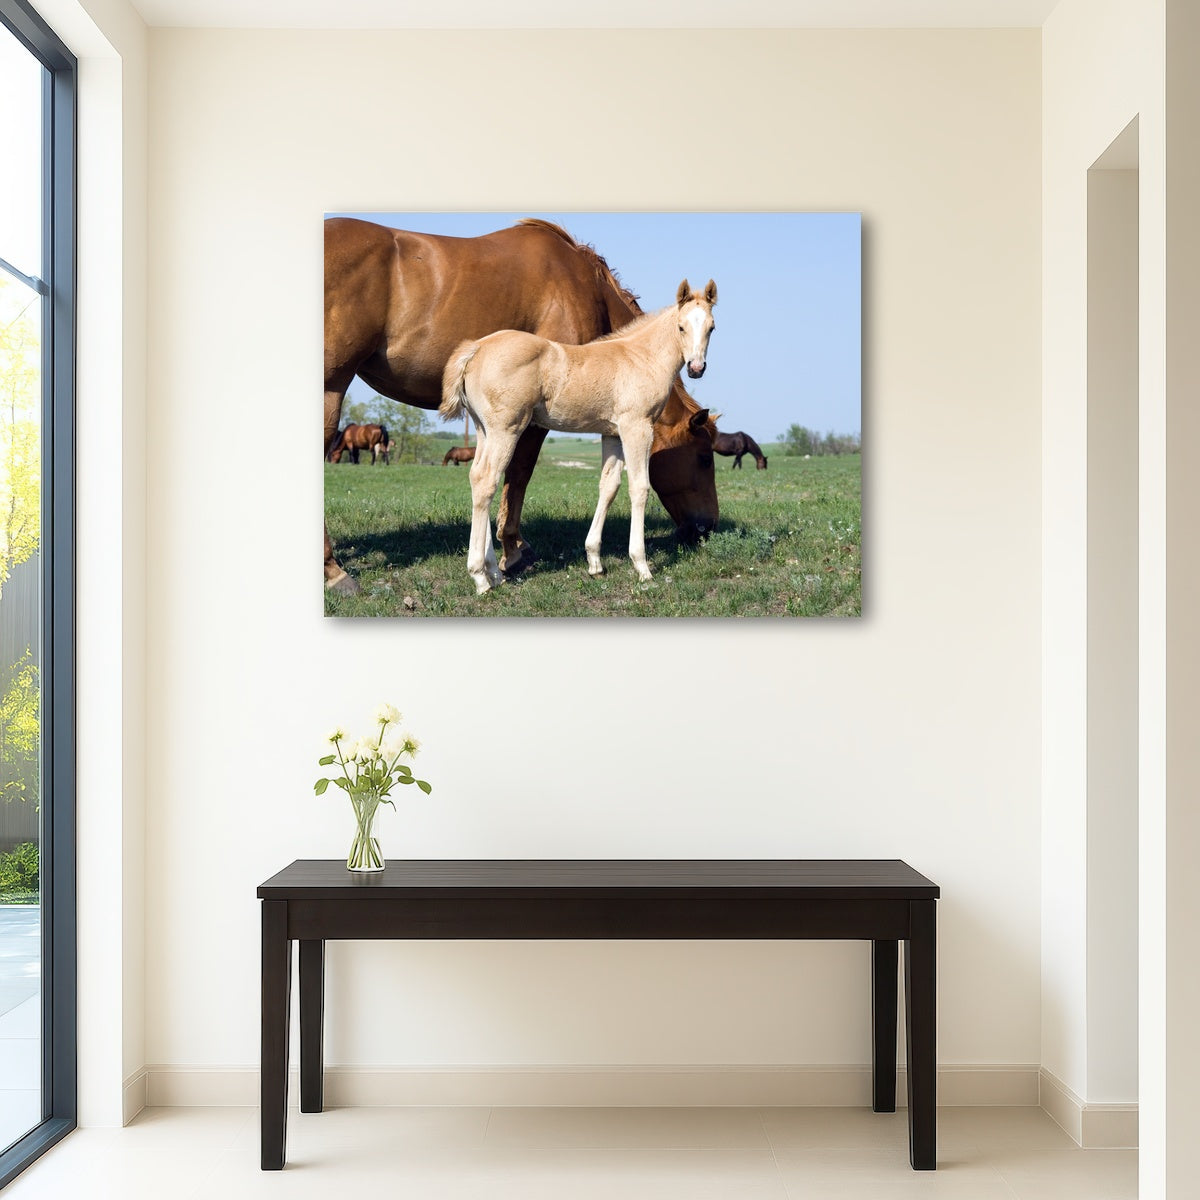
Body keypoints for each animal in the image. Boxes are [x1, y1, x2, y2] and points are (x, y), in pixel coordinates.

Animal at [442, 279, 717, 594]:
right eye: (681, 327)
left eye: (711, 327)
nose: (696, 368)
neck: (641, 359)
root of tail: (476, 348)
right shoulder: (636, 427)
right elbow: (639, 488)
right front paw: (642, 566)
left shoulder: (612, 433)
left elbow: (609, 486)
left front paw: (595, 562)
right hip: (506, 429)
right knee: (487, 480)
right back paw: (480, 577)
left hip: (483, 429)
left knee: (476, 476)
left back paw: (494, 573)